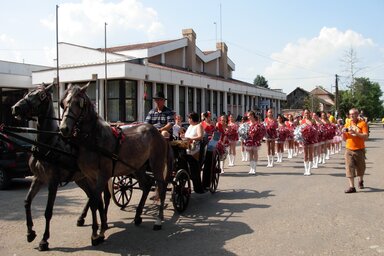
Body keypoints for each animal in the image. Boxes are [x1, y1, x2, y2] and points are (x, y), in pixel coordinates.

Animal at [11, 84, 110, 250]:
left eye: (40, 95)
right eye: (27, 93)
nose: (15, 108)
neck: (48, 143)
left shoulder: (53, 181)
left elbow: (48, 211)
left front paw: (44, 240)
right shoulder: (38, 178)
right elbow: (27, 202)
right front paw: (30, 233)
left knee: (100, 198)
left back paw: (100, 225)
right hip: (81, 179)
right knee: (92, 198)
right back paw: (85, 219)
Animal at [59, 83, 173, 245]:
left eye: (79, 103)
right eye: (63, 103)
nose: (64, 129)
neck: (94, 140)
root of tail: (158, 133)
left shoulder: (102, 175)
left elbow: (96, 200)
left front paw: (97, 233)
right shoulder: (91, 177)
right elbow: (96, 201)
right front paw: (99, 231)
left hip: (156, 164)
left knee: (161, 187)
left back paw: (158, 220)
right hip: (138, 167)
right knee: (146, 185)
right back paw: (138, 216)